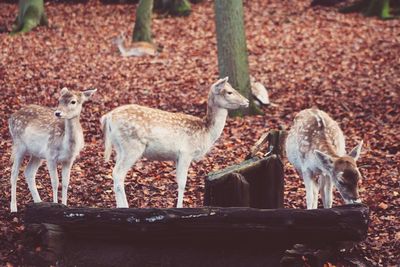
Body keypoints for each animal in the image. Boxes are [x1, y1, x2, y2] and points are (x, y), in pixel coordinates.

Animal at [101, 76, 248, 208]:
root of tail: (107, 117)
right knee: (118, 174)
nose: (247, 101)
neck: (206, 133)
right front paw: (179, 207)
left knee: (115, 174)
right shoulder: (186, 152)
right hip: (132, 146)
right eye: (229, 92)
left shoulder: (177, 157)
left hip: (119, 148)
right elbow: (182, 183)